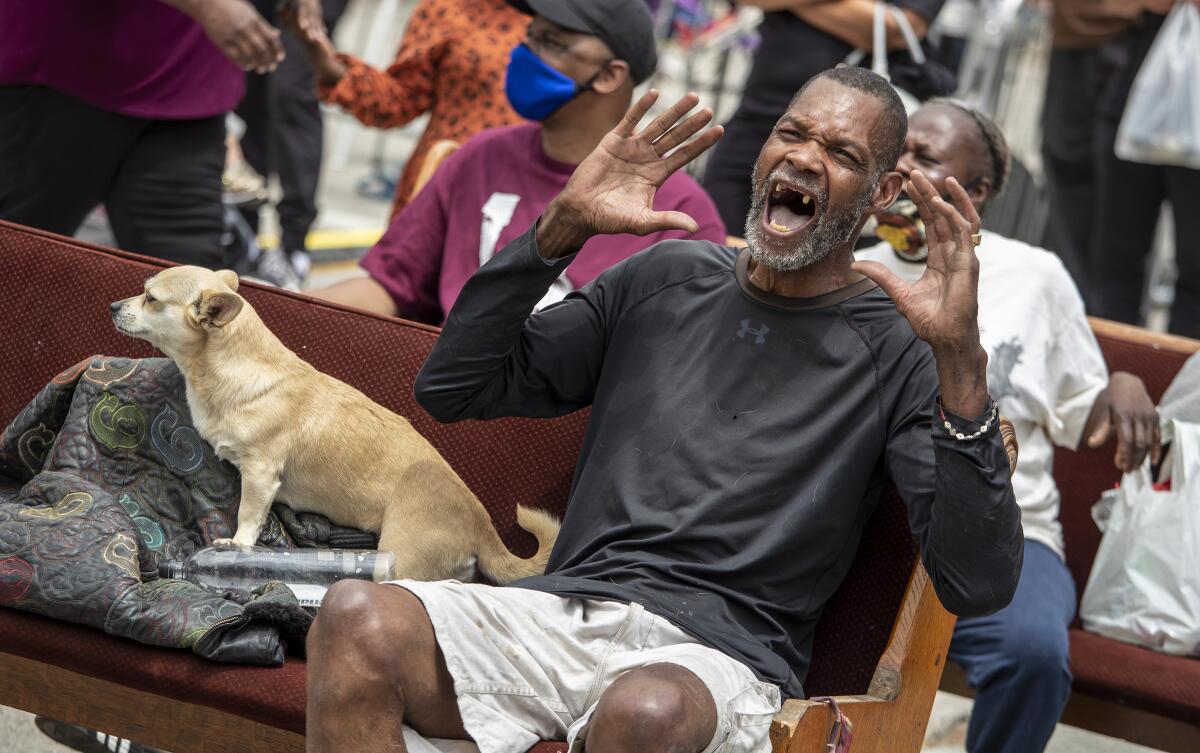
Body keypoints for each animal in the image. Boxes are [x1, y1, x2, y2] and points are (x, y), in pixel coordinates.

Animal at [110, 266, 559, 582]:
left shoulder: (260, 475)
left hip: (397, 560)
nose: (114, 306)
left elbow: (249, 516)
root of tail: (482, 525)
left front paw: (235, 545)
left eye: (150, 298)